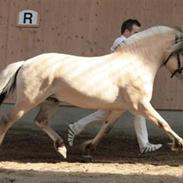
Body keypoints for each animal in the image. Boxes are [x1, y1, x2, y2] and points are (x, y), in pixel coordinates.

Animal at [0, 25, 183, 159]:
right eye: (182, 52)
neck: (136, 63)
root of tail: (25, 63)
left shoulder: (120, 108)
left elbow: (106, 128)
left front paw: (88, 148)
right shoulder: (140, 105)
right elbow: (162, 122)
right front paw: (178, 144)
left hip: (50, 101)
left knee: (41, 121)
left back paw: (61, 148)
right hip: (28, 101)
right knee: (8, 120)